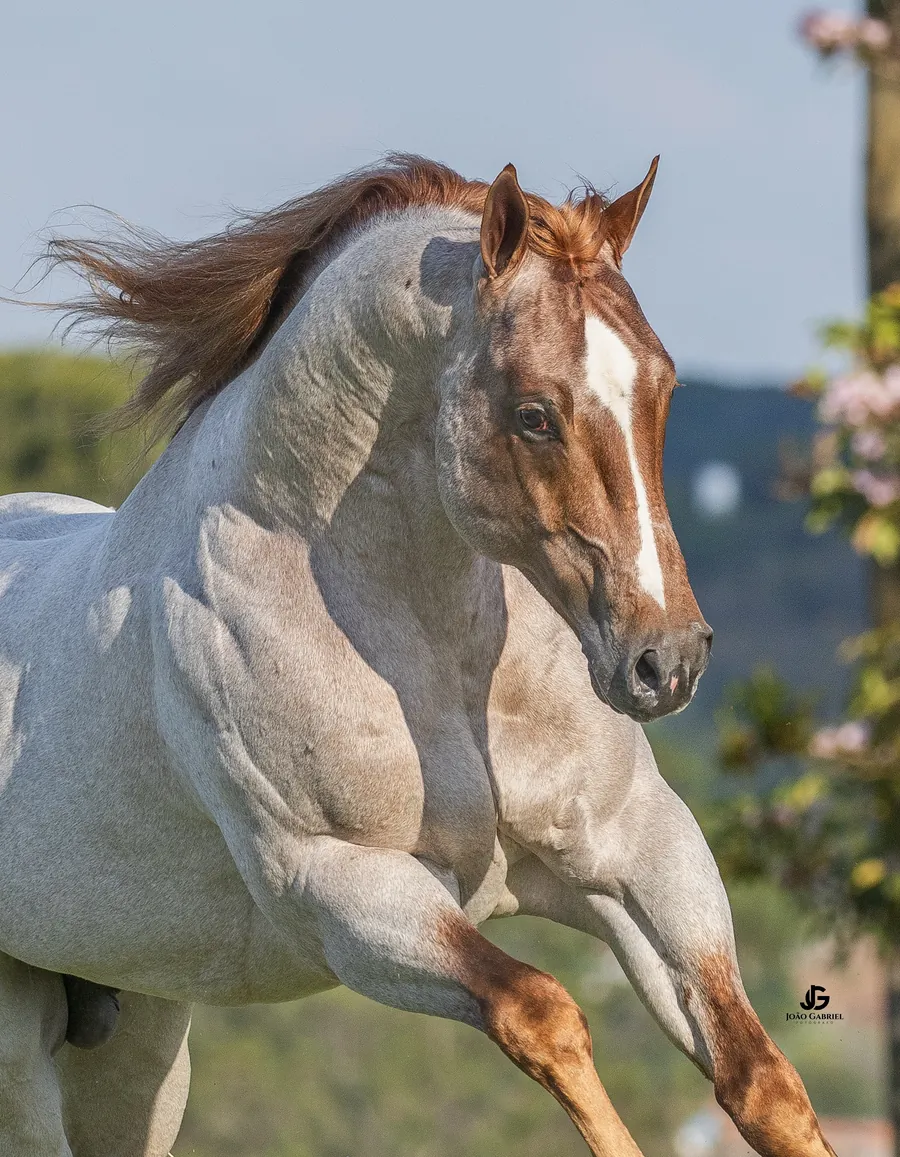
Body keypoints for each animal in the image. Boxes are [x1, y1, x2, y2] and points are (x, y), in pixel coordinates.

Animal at [0, 154, 835, 1157]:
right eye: (534, 414)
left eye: (662, 388)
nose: (665, 661)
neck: (441, 663)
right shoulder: (345, 893)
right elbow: (544, 1012)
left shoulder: (637, 846)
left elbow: (761, 1080)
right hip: (25, 1053)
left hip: (143, 1035)